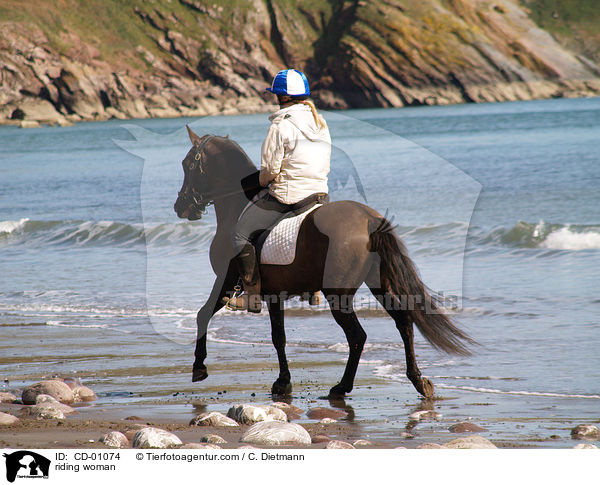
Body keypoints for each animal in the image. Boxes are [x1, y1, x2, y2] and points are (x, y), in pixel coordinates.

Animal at [173, 125, 474, 398]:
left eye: (187, 164)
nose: (180, 207)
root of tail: (368, 218)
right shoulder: (273, 294)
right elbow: (279, 337)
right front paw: (283, 382)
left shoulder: (225, 279)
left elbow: (204, 315)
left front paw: (199, 368)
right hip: (379, 284)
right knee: (404, 321)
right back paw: (418, 381)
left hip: (338, 293)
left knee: (358, 336)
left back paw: (342, 387)